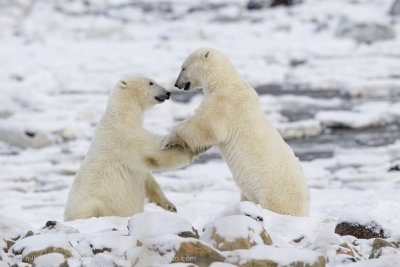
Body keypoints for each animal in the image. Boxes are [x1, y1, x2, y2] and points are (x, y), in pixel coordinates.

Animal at [64, 76, 197, 222]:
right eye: (151, 82)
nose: (168, 93)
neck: (121, 116)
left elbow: (148, 178)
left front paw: (170, 206)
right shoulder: (125, 137)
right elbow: (154, 151)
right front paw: (189, 150)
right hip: (92, 205)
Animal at [162, 48, 310, 218]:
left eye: (183, 68)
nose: (176, 84)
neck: (224, 81)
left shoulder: (225, 103)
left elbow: (206, 126)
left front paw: (168, 139)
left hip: (277, 193)